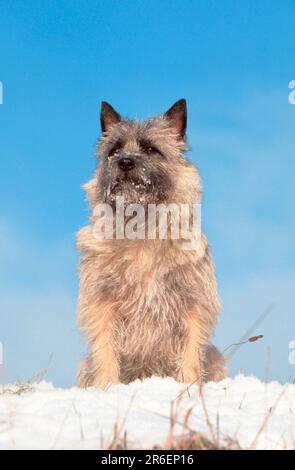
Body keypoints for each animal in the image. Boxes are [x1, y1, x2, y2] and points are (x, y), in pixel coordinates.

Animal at [77, 97, 228, 388]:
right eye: (114, 150)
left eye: (150, 149)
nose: (124, 162)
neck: (141, 226)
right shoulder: (103, 303)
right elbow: (105, 350)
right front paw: (106, 388)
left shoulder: (193, 305)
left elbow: (190, 353)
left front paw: (188, 389)